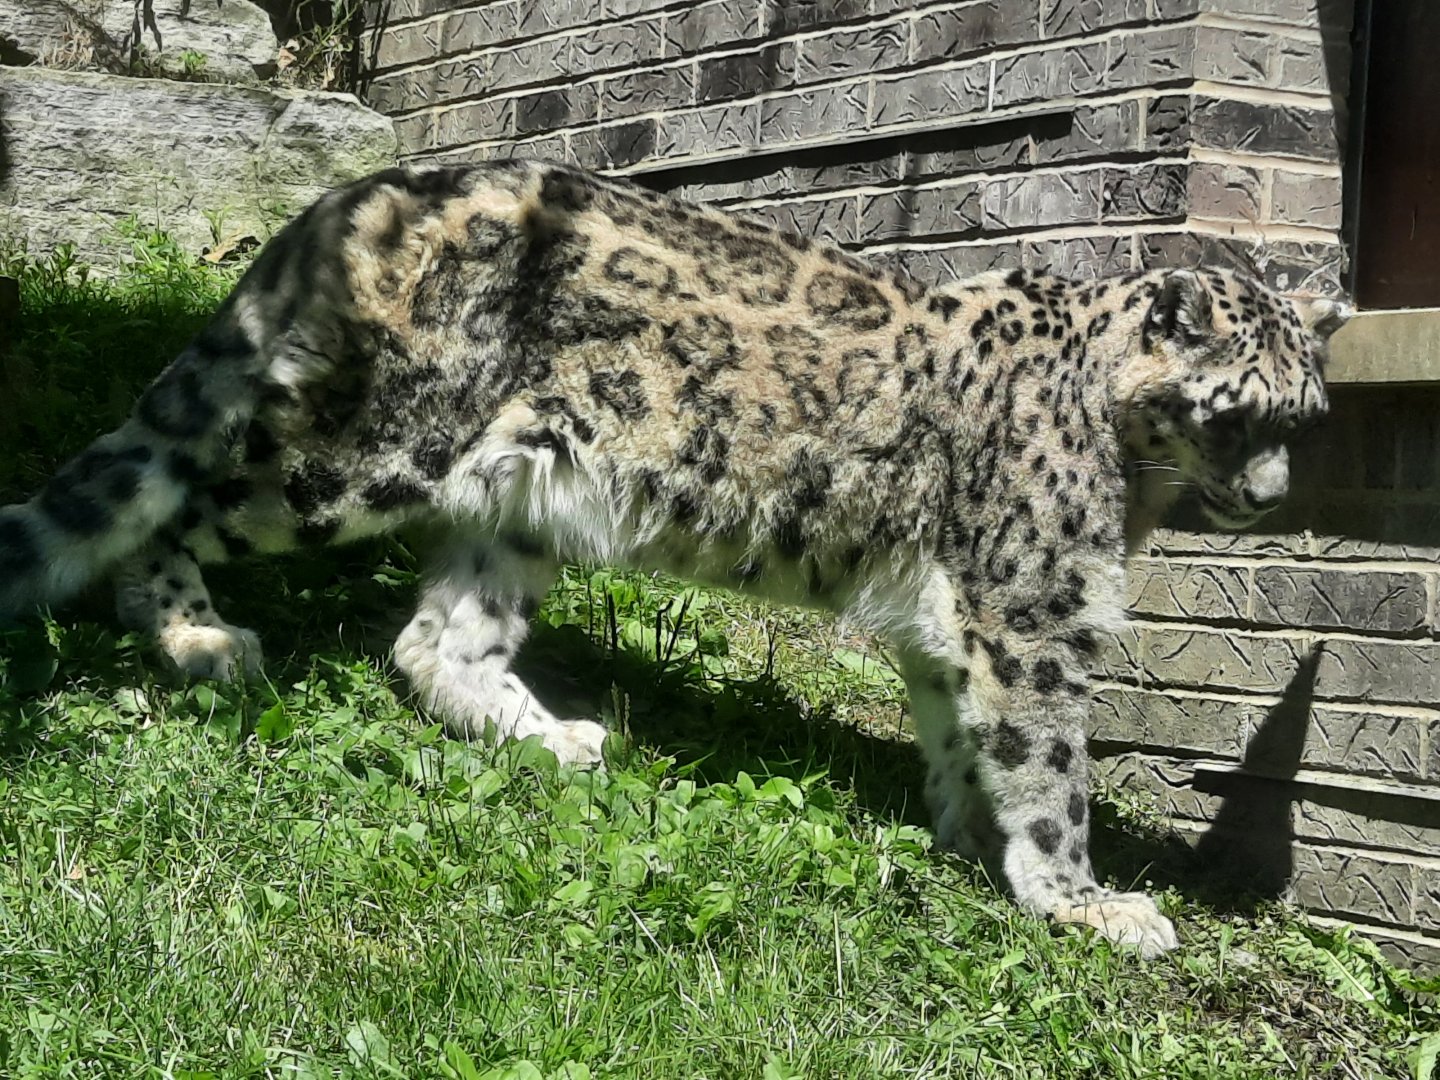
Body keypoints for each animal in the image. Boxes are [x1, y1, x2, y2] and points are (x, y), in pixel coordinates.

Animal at [0, 160, 1350, 959]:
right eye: (1238, 416)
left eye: (1308, 417)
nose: (1273, 498)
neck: (1134, 478)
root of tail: (368, 193)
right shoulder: (1036, 610)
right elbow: (1051, 760)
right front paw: (1086, 900)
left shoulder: (959, 617)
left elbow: (962, 729)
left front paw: (966, 838)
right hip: (365, 454)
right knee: (183, 507)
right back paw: (196, 635)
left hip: (517, 508)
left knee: (433, 641)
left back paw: (561, 740)